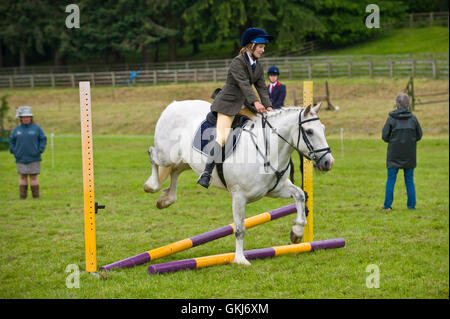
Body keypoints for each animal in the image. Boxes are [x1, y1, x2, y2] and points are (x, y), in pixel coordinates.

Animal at [144, 101, 334, 266]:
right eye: (309, 131)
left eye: (323, 129)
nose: (328, 162)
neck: (267, 150)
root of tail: (174, 105)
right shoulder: (239, 196)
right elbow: (239, 229)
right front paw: (240, 260)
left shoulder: (276, 189)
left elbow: (300, 195)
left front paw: (297, 233)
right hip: (166, 154)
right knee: (153, 155)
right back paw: (151, 186)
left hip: (185, 160)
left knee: (175, 170)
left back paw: (166, 200)